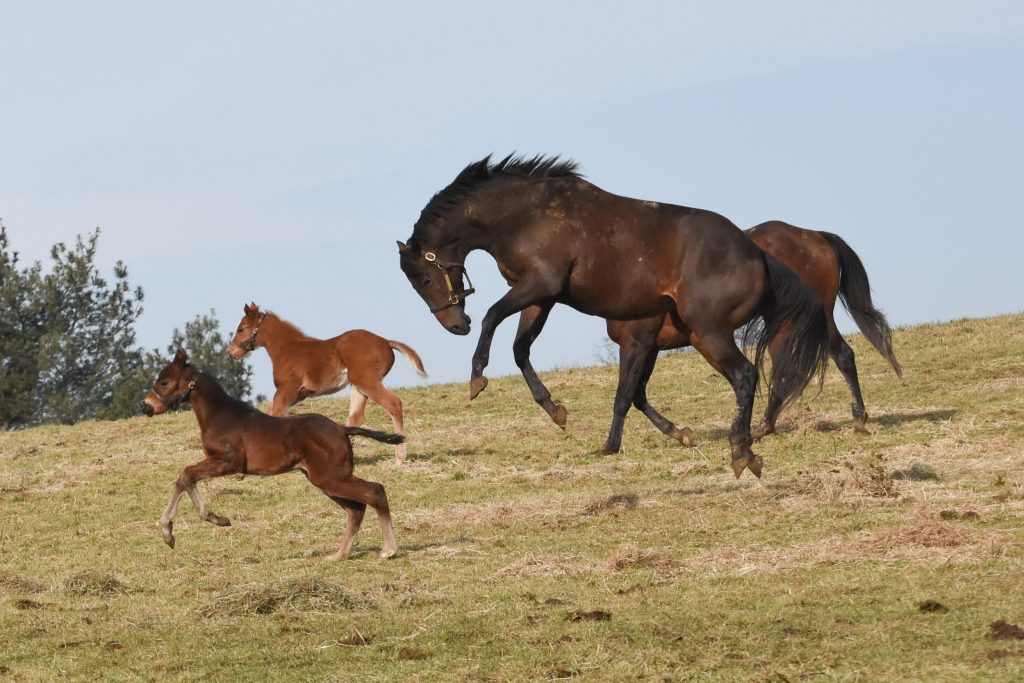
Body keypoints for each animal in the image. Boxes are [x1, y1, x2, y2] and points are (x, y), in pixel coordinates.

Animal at [142, 352, 397, 561]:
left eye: (164, 382)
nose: (146, 407)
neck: (219, 415)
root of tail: (342, 429)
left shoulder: (230, 461)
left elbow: (187, 474)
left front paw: (178, 529)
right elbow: (186, 478)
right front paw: (203, 522)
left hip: (331, 477)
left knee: (375, 491)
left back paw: (389, 550)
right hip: (324, 479)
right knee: (355, 509)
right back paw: (338, 555)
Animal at [228, 305, 428, 464]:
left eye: (241, 329)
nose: (231, 352)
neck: (287, 349)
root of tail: (385, 342)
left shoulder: (286, 389)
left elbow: (275, 413)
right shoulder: (298, 394)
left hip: (367, 381)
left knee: (394, 404)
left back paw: (400, 456)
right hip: (358, 386)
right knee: (355, 418)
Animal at [393, 155, 831, 479]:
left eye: (426, 277)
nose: (455, 325)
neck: (525, 215)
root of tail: (757, 254)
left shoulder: (540, 286)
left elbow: (491, 316)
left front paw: (477, 377)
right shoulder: (541, 298)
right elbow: (521, 350)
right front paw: (556, 410)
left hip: (710, 333)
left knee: (745, 376)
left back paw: (742, 451)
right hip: (699, 336)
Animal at [512, 222, 905, 450]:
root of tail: (816, 237)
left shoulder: (637, 343)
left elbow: (624, 396)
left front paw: (610, 445)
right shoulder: (651, 348)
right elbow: (639, 395)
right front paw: (678, 432)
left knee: (814, 363)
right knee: (817, 362)